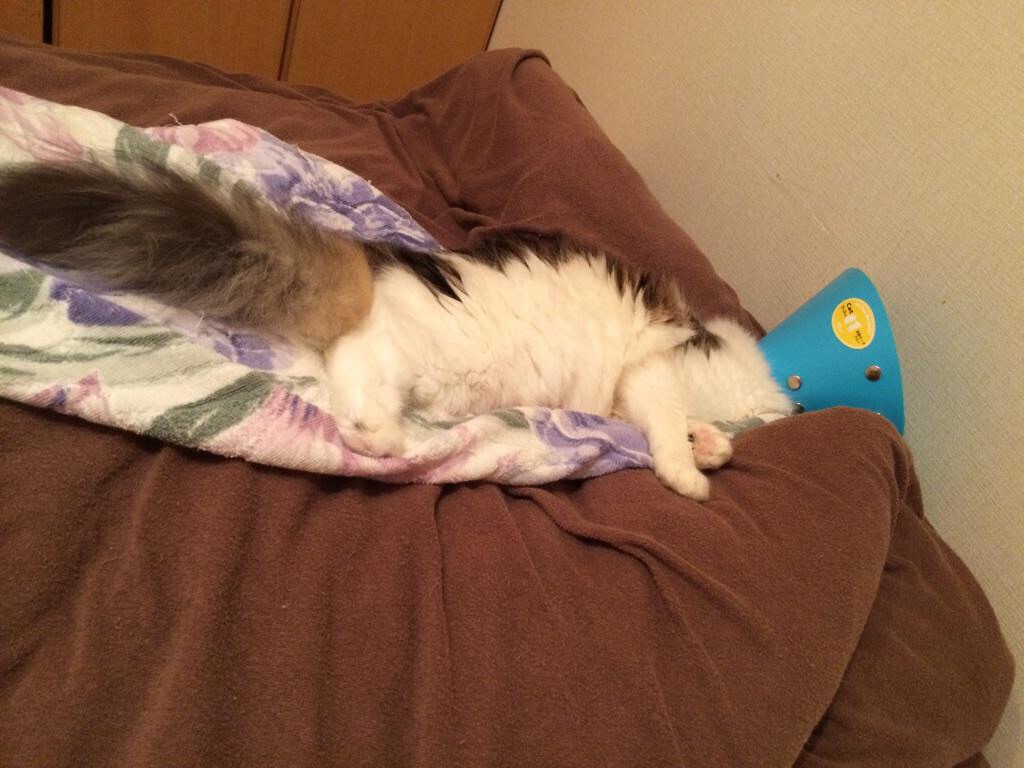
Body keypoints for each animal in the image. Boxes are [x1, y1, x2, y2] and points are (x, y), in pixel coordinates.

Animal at [0, 160, 792, 500]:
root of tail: (367, 264)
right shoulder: (650, 371)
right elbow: (667, 425)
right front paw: (691, 474)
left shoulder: (635, 394)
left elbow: (683, 428)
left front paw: (711, 447)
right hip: (422, 342)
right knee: (359, 363)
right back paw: (376, 441)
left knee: (351, 373)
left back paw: (368, 438)